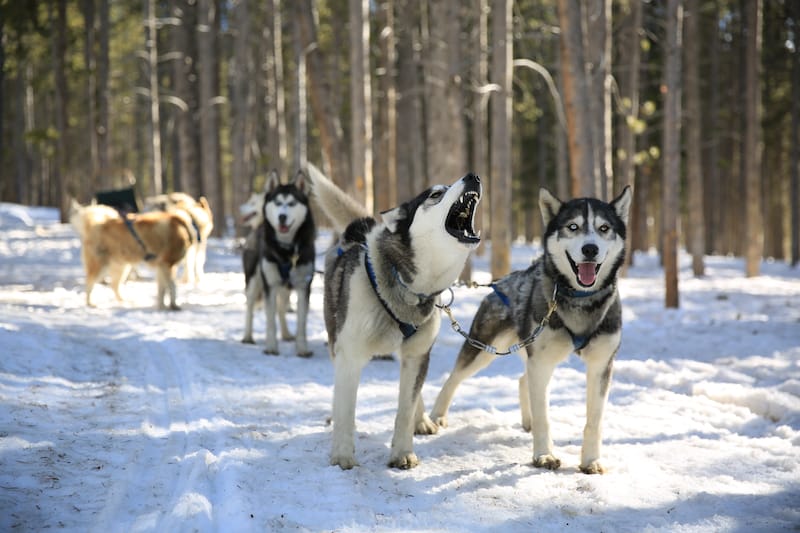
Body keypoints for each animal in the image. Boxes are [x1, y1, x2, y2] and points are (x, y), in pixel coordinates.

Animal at [242, 168, 318, 356]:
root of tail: (258, 227)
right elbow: (270, 320)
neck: (287, 251)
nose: (282, 217)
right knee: (250, 306)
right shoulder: (270, 285)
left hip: (285, 288)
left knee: (282, 308)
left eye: (291, 203)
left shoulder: (304, 286)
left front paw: (302, 349)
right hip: (254, 281)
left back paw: (286, 334)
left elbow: (301, 322)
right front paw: (271, 347)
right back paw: (248, 336)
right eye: (277, 203)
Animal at [304, 163, 482, 470]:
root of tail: (358, 227)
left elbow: (405, 409)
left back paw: (421, 420)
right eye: (436, 194)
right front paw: (342, 456)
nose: (474, 176)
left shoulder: (417, 354)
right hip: (335, 338)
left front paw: (402, 453)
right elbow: (346, 409)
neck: (407, 288)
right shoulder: (350, 356)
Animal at [432, 186, 632, 474]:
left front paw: (591, 461)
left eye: (604, 228)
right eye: (573, 226)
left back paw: (526, 422)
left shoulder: (600, 365)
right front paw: (544, 455)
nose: (590, 248)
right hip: (483, 350)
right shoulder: (542, 362)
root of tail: (501, 281)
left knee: (523, 380)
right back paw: (436, 416)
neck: (580, 300)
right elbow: (543, 417)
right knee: (454, 378)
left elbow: (594, 421)